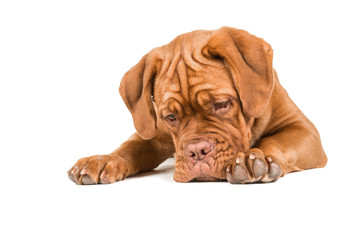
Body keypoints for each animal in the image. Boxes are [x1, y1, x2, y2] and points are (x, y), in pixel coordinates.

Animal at [67, 26, 326, 184]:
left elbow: (275, 141)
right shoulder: (152, 136)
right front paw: (104, 160)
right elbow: (130, 147)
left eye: (221, 104)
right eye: (170, 117)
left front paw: (254, 159)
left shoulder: (303, 131)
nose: (197, 151)